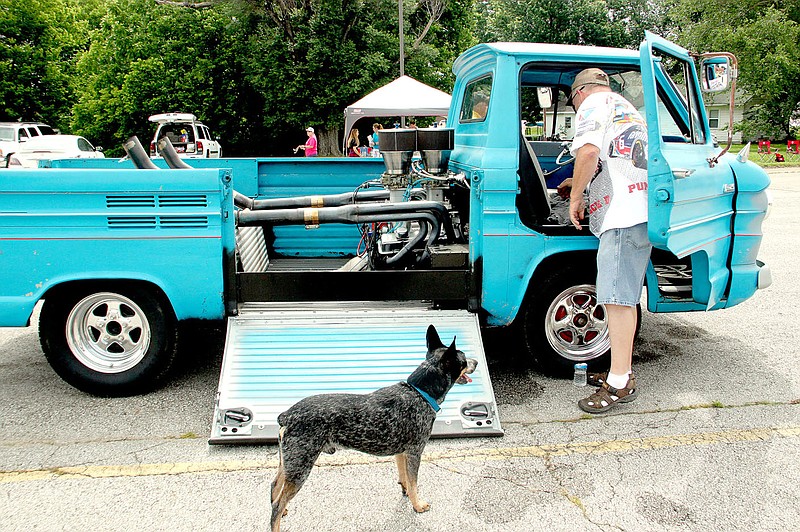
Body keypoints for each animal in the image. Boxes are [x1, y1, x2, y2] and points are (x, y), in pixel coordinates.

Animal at [272, 322, 478, 528]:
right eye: (464, 360)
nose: (476, 362)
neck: (420, 392)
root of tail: (287, 416)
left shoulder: (401, 453)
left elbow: (404, 478)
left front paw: (405, 491)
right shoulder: (414, 452)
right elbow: (414, 483)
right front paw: (418, 505)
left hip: (288, 463)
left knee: (274, 487)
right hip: (300, 466)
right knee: (277, 505)